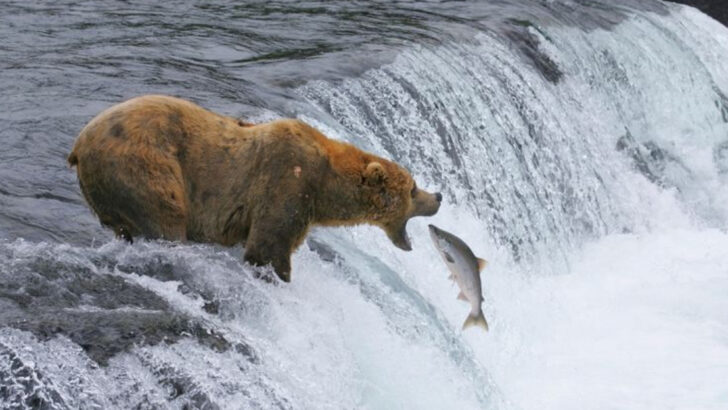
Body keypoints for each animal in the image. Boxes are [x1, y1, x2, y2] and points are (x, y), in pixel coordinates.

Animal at [68, 95, 442, 282]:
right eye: (413, 189)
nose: (437, 196)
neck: (326, 186)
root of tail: (78, 145)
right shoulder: (287, 181)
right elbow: (268, 246)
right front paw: (277, 274)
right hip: (144, 166)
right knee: (165, 219)